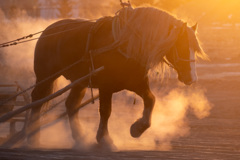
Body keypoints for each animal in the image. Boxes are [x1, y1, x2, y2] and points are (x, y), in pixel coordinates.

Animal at [26, 6, 206, 149]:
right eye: (181, 45)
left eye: (195, 48)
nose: (192, 78)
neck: (126, 45)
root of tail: (48, 30)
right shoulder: (106, 86)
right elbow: (106, 112)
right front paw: (104, 139)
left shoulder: (137, 83)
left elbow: (151, 100)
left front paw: (137, 129)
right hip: (45, 77)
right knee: (37, 100)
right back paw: (32, 138)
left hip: (80, 82)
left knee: (71, 105)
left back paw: (80, 138)